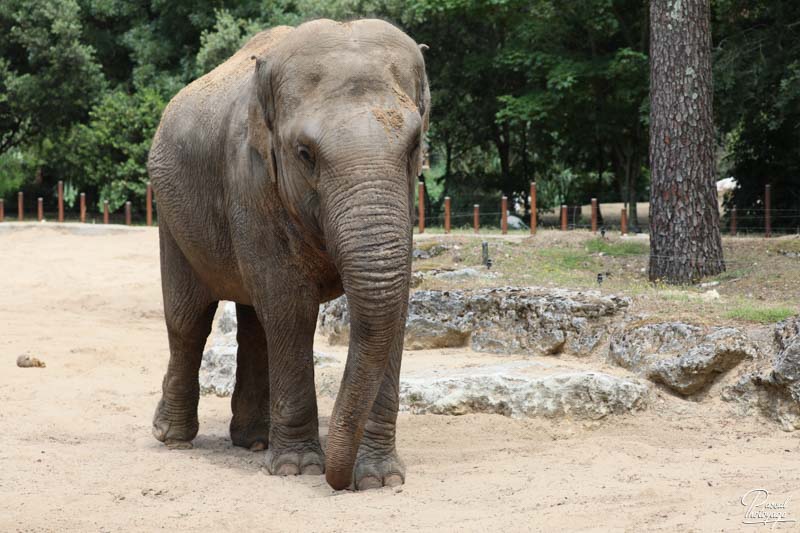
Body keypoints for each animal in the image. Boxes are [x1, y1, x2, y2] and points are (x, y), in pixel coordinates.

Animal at [146, 17, 428, 490]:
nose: (339, 482)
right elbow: (291, 307)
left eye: (414, 146)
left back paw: (254, 441)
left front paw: (380, 479)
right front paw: (298, 469)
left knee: (254, 323)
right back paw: (173, 439)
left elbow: (397, 303)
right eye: (304, 154)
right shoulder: (249, 178)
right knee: (189, 321)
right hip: (169, 215)